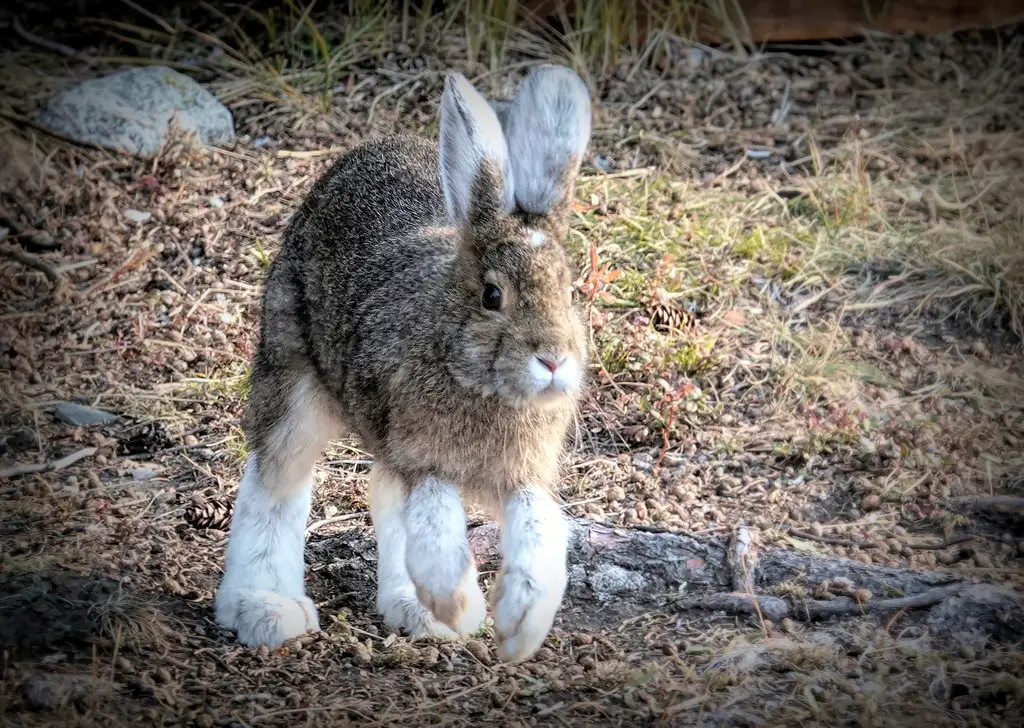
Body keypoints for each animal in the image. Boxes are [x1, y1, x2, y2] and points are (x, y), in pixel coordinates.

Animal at [214, 65, 593, 663]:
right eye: (492, 296)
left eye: (571, 291)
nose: (552, 359)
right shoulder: (421, 457)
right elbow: (435, 530)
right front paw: (462, 606)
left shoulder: (519, 477)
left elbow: (539, 531)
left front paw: (519, 628)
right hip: (293, 373)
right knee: (275, 484)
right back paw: (264, 609)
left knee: (380, 496)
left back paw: (415, 613)